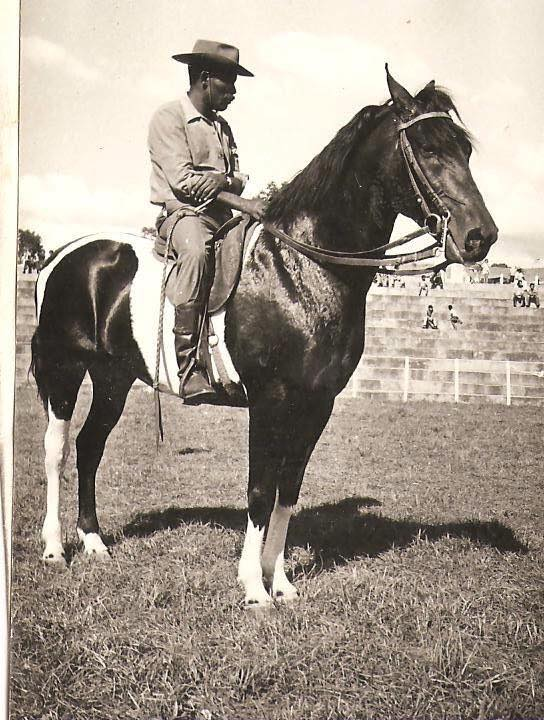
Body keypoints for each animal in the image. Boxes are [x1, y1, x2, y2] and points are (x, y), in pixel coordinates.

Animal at [29, 69, 498, 608]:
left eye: (465, 148)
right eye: (427, 147)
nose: (480, 237)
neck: (302, 267)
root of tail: (61, 256)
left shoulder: (316, 404)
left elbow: (287, 489)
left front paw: (282, 581)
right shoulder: (269, 401)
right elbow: (259, 489)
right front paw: (254, 587)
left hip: (113, 378)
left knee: (90, 447)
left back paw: (93, 542)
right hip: (64, 372)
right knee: (58, 450)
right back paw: (54, 549)